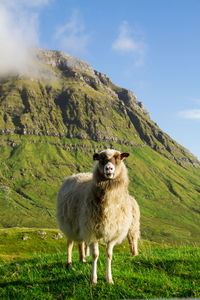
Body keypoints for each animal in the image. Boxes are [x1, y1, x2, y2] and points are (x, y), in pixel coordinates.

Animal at [56, 149, 140, 284]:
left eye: (118, 158)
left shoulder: (112, 232)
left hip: (82, 224)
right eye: (101, 159)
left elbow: (109, 255)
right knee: (70, 243)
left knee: (80, 242)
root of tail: (74, 175)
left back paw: (82, 259)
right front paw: (93, 279)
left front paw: (109, 279)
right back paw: (69, 263)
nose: (109, 168)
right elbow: (95, 255)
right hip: (70, 224)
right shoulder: (92, 230)